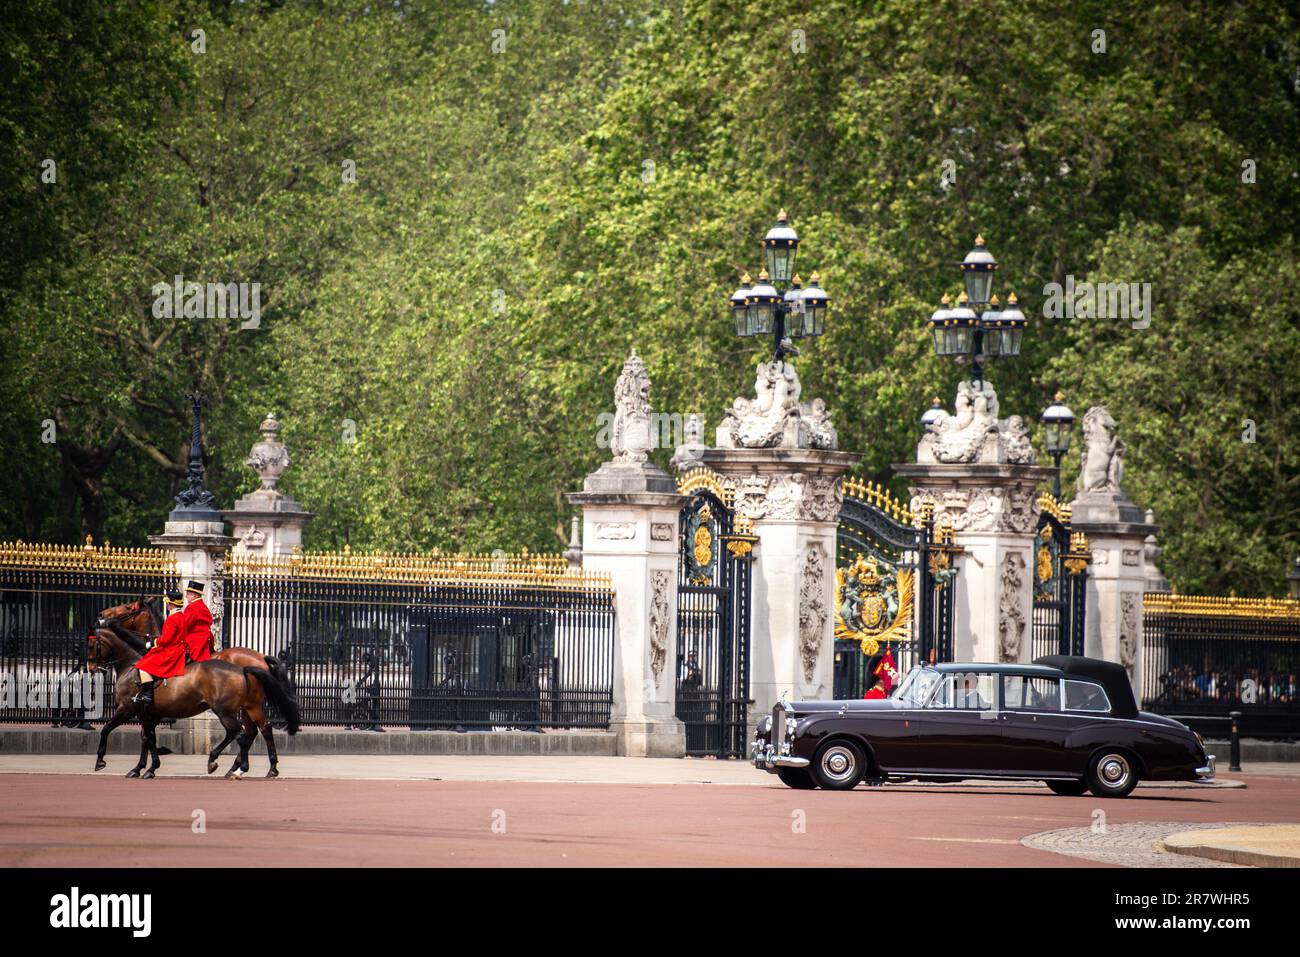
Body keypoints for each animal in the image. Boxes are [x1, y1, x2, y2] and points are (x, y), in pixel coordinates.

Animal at [86, 629, 299, 780]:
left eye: (91, 645)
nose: (91, 668)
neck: (131, 667)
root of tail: (246, 666)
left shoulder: (128, 709)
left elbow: (108, 729)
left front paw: (102, 761)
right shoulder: (150, 713)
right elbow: (147, 738)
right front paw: (142, 768)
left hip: (229, 709)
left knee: (243, 733)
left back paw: (235, 767)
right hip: (247, 706)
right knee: (256, 730)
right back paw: (259, 767)